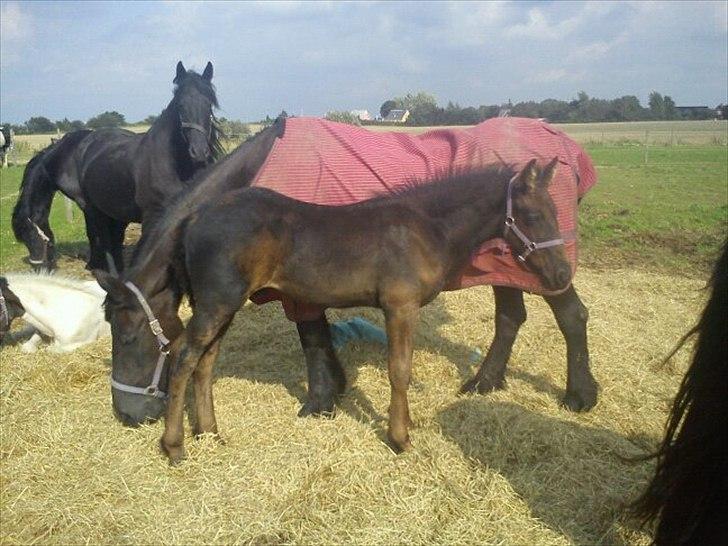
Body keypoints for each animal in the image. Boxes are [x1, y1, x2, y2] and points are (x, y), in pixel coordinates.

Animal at [95, 155, 584, 462]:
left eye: (555, 212)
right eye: (534, 216)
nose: (562, 272)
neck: (425, 227)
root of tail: (194, 219)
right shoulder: (400, 307)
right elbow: (400, 371)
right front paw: (400, 438)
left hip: (221, 306)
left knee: (205, 361)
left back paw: (211, 431)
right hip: (217, 304)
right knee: (182, 358)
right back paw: (175, 447)